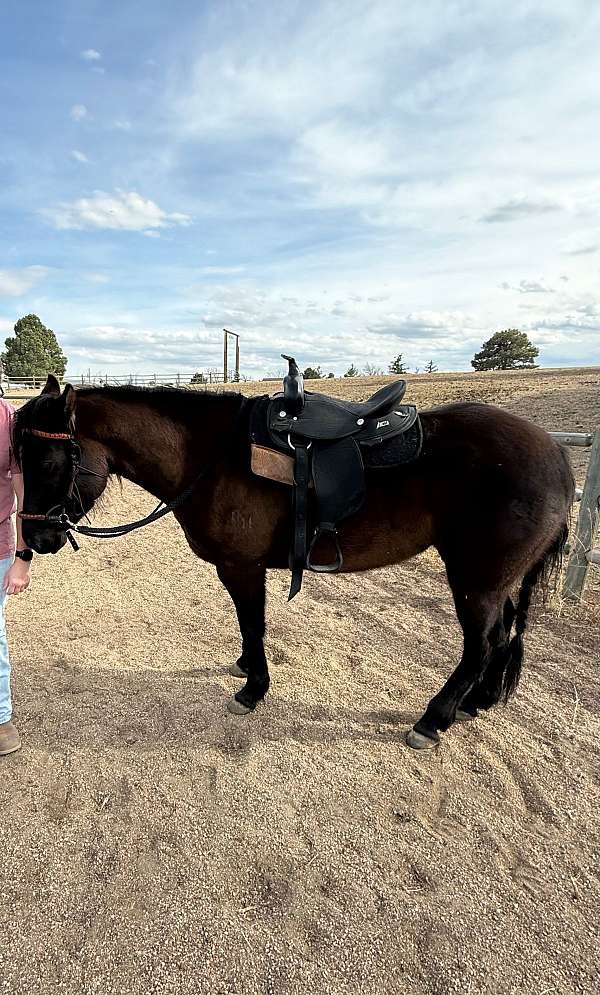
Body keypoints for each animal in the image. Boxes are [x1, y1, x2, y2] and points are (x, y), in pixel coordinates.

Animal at [13, 374, 574, 750]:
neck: (213, 456)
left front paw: (253, 688)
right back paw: (476, 701)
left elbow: (253, 623)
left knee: (481, 645)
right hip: (495, 582)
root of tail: (557, 455)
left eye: (46, 460)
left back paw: (434, 719)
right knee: (502, 635)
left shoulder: (241, 566)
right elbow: (246, 626)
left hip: (476, 581)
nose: (34, 538)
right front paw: (245, 668)